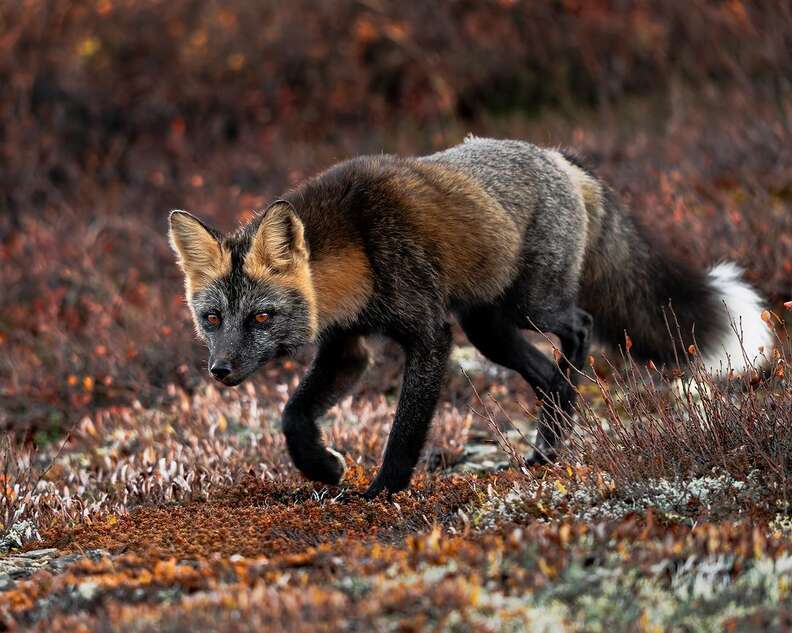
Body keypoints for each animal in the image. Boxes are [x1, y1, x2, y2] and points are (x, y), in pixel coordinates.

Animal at [168, 136, 773, 499]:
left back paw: (555, 432)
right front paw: (323, 468)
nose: (220, 371)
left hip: (531, 307)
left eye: (261, 318)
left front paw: (383, 491)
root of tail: (558, 157)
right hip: (488, 330)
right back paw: (545, 451)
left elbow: (406, 430)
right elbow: (293, 416)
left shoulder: (430, 334)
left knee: (578, 328)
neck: (360, 245)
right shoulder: (348, 345)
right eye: (213, 319)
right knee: (549, 376)